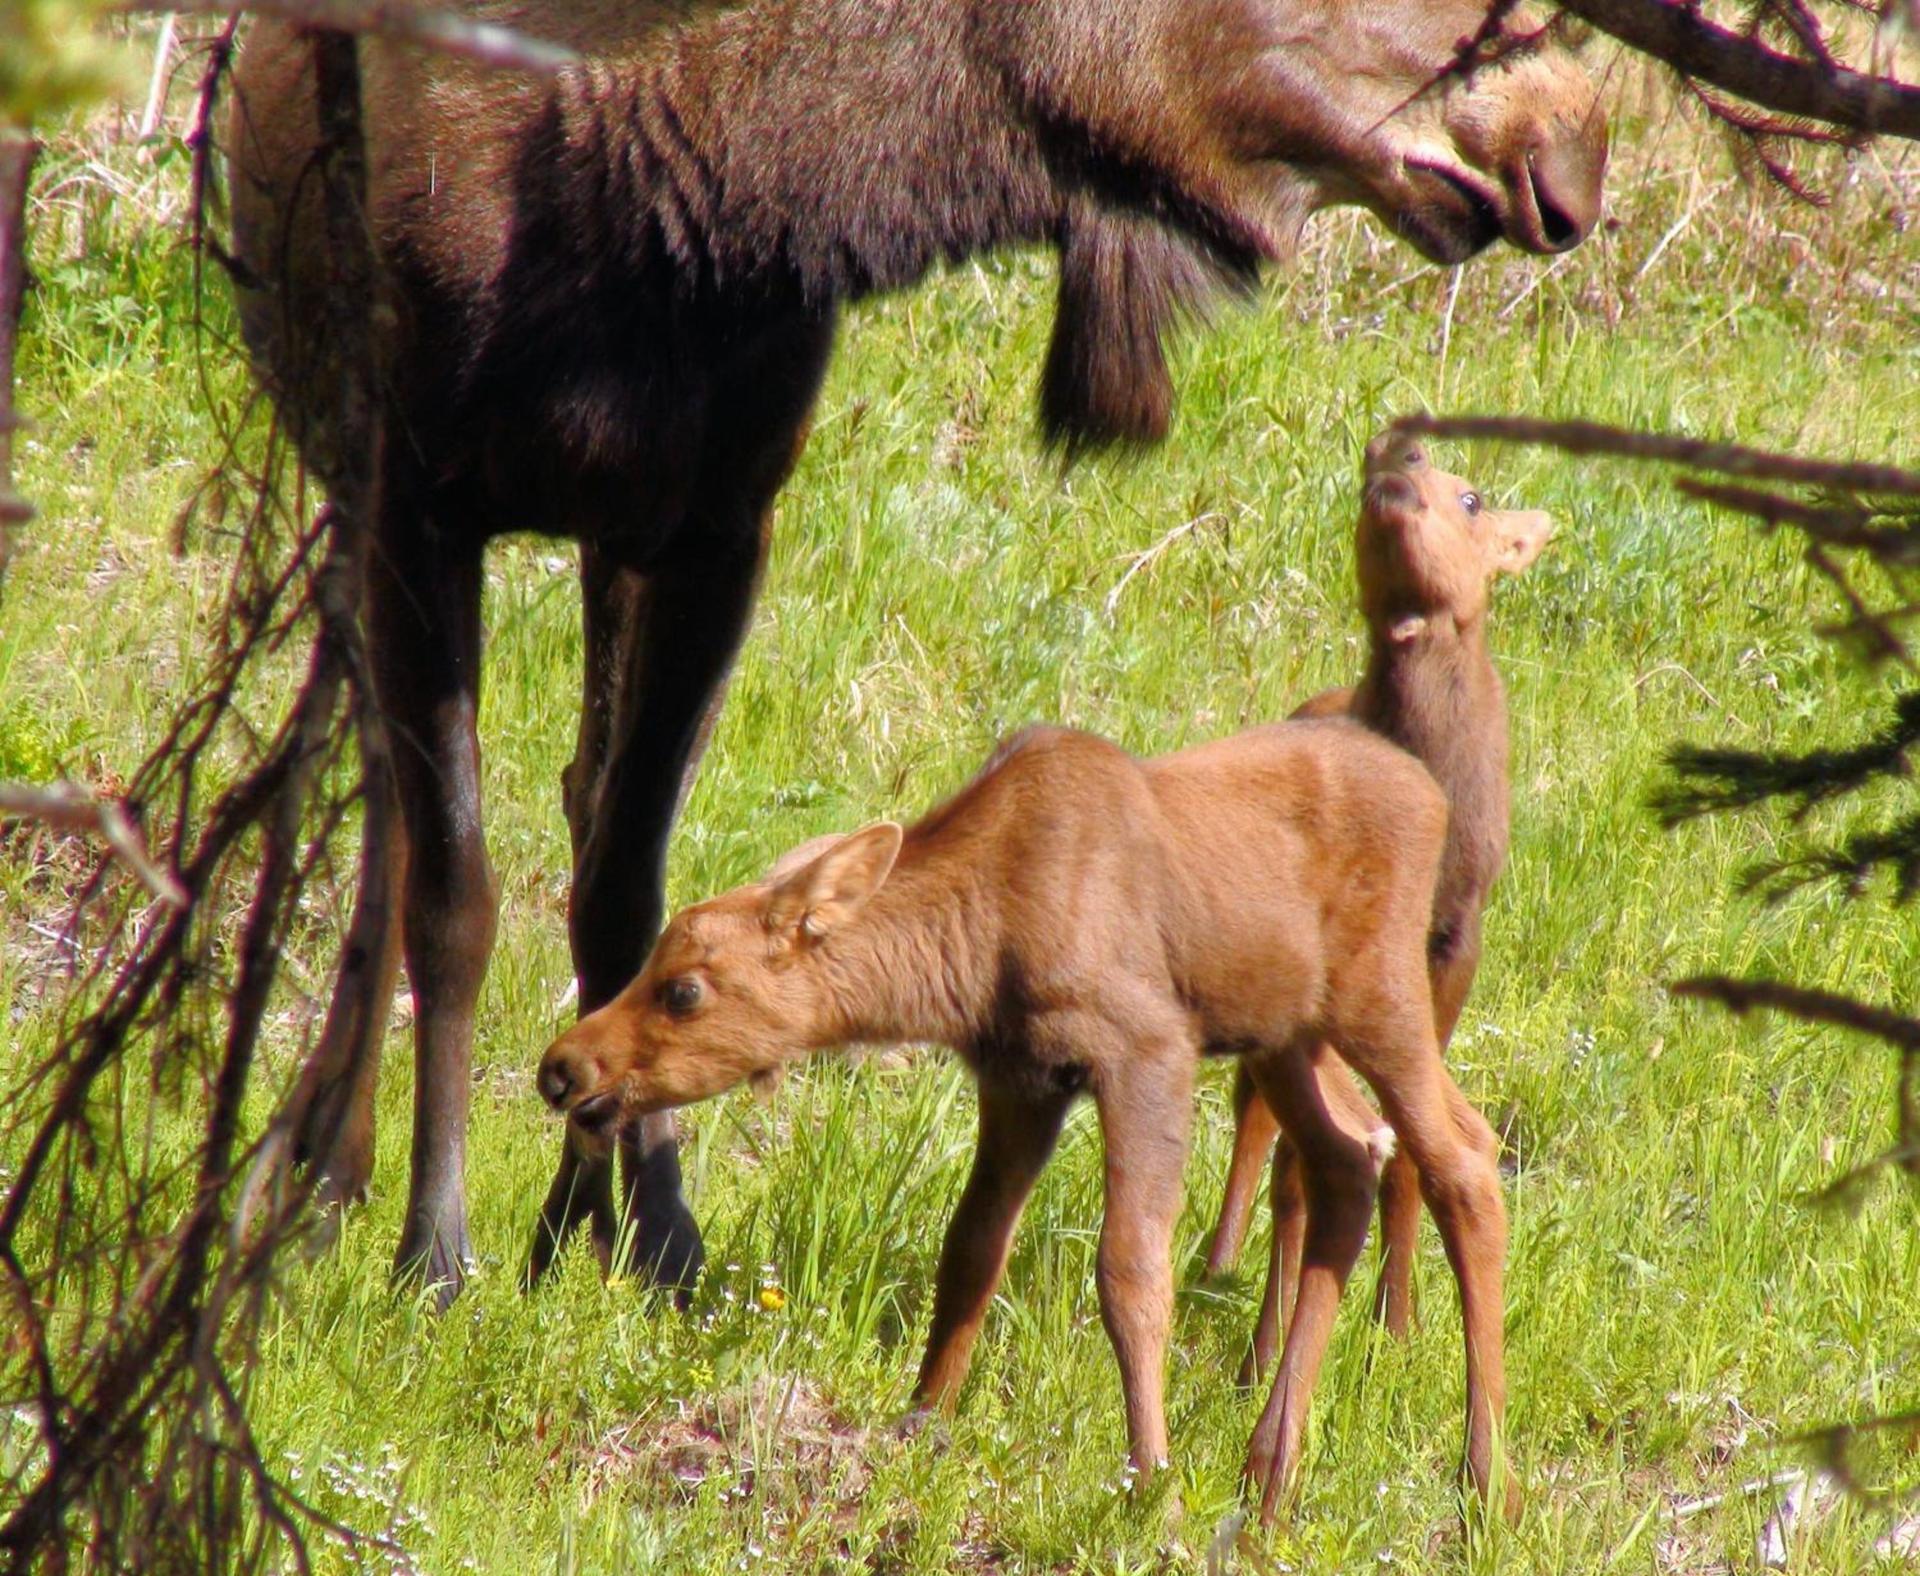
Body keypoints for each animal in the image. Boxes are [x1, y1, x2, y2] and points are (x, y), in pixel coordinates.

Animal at [536, 715, 1517, 1520]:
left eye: (685, 990)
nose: (562, 1066)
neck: (976, 949)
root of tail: (1433, 796)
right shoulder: (1022, 1082)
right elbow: (969, 1250)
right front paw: (920, 1419)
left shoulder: (1145, 1049)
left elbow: (1130, 1272)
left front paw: (1151, 1480)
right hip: (1287, 1034)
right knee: (1348, 1158)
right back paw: (1269, 1474)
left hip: (1378, 996)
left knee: (1463, 1156)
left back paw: (1484, 1482)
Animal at [1202, 434, 1551, 1381]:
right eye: (1365, 483)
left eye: (1472, 498)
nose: (1399, 461)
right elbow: (1305, 1157)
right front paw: (1267, 1350)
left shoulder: (1452, 943)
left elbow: (1407, 1158)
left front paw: (1396, 1324)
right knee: (1257, 1121)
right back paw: (1222, 1264)